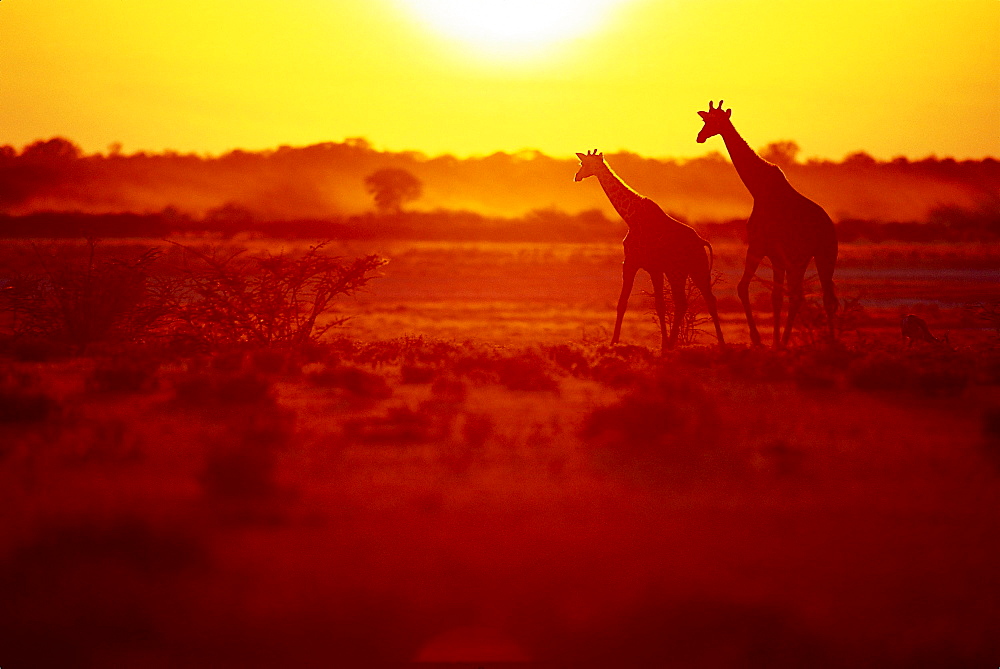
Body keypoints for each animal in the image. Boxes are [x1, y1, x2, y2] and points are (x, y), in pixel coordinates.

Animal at [576, 149, 724, 352]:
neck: (631, 217)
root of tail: (702, 241)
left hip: (678, 271)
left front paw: (614, 342)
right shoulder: (651, 268)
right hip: (695, 269)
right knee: (709, 299)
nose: (576, 176)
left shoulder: (633, 262)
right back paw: (720, 343)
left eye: (583, 164)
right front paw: (661, 342)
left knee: (683, 302)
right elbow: (657, 305)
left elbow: (625, 303)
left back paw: (674, 344)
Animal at [700, 103, 840, 350]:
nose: (700, 136)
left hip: (822, 255)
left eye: (715, 121)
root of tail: (830, 228)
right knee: (804, 295)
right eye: (705, 120)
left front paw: (760, 340)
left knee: (819, 296)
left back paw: (829, 342)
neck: (758, 189)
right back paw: (793, 341)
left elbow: (748, 289)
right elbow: (771, 295)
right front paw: (771, 341)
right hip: (803, 258)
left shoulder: (760, 247)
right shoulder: (772, 254)